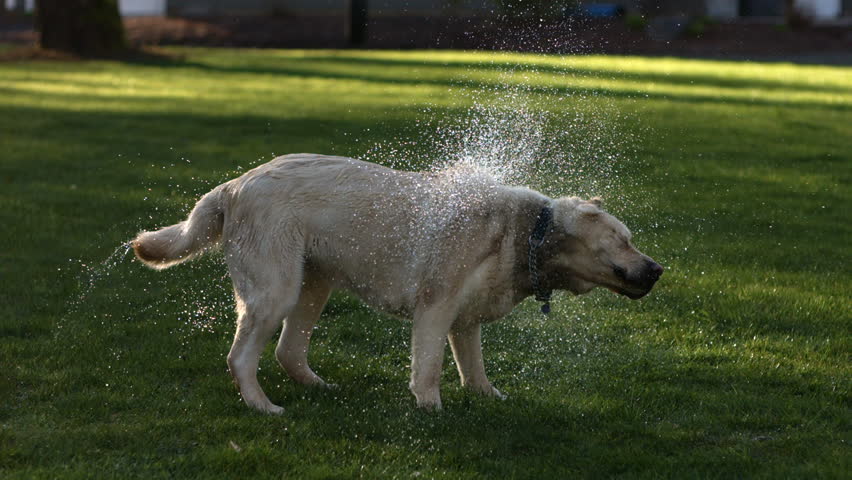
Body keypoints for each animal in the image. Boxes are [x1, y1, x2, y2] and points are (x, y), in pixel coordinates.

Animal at [135, 154, 664, 412]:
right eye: (624, 240)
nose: (658, 268)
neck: (528, 234)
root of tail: (233, 185)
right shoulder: (436, 306)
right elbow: (428, 368)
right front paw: (431, 410)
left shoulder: (465, 319)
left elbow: (474, 369)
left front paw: (487, 399)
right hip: (276, 290)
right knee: (241, 358)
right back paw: (263, 407)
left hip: (314, 283)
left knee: (288, 351)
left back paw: (317, 387)